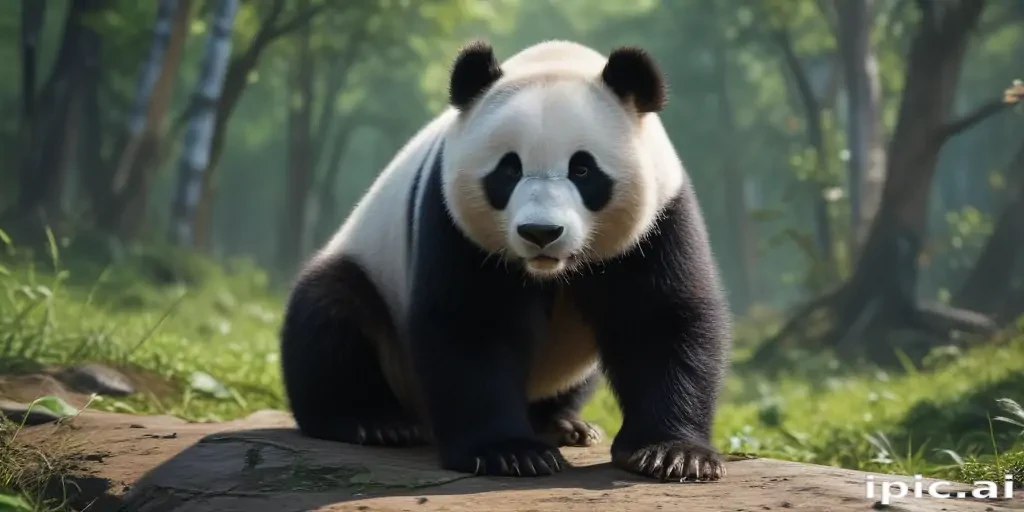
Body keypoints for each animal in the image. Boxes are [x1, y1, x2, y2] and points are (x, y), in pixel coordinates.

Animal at [280, 39, 731, 482]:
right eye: (509, 169)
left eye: (583, 169)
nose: (540, 233)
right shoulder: (455, 222)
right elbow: (473, 322)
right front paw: (509, 453)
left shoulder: (658, 218)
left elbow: (660, 319)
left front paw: (672, 455)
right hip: (372, 280)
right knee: (332, 315)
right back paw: (373, 421)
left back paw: (563, 424)